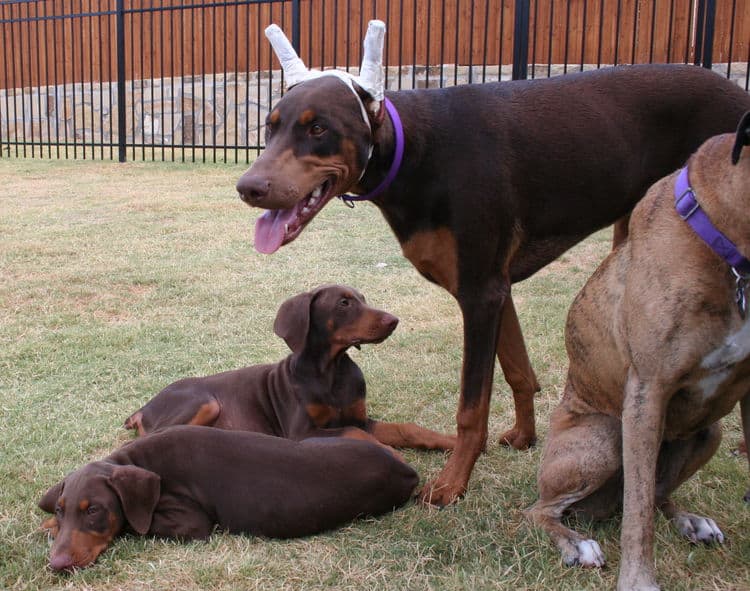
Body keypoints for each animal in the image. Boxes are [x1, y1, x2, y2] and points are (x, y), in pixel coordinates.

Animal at [39, 428, 418, 572]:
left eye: (95, 510)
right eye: (62, 509)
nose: (56, 564)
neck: (139, 461)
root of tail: (408, 473)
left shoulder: (190, 522)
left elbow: (134, 525)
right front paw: (48, 522)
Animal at [125, 284, 452, 450]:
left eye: (363, 298)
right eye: (344, 303)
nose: (394, 320)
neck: (331, 371)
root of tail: (143, 408)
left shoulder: (359, 418)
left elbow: (405, 429)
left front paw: (447, 441)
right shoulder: (301, 432)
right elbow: (357, 435)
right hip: (205, 402)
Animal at [234, 20, 750, 506]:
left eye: (318, 128)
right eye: (270, 126)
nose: (247, 187)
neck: (414, 153)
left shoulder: (480, 293)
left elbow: (470, 406)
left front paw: (453, 483)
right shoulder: (496, 289)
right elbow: (519, 371)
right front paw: (524, 436)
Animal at [524, 115, 750, 591]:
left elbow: (645, 503)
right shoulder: (648, 390)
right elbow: (638, 518)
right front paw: (638, 581)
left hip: (710, 433)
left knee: (656, 495)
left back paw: (689, 521)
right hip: (607, 436)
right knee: (543, 511)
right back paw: (575, 544)